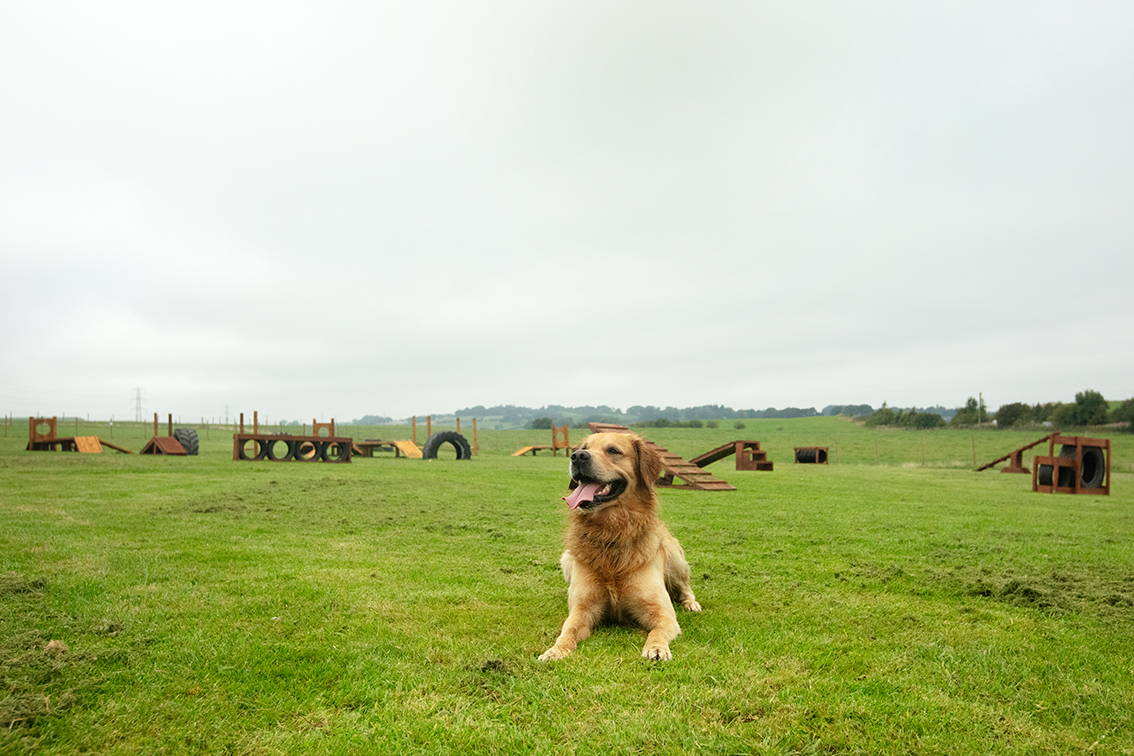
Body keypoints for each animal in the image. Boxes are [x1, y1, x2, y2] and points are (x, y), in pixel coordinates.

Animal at [537, 430, 698, 661]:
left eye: (613, 450)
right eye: (584, 448)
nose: (577, 456)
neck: (611, 534)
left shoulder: (663, 612)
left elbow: (658, 630)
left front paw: (657, 648)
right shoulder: (582, 608)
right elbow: (568, 629)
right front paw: (556, 650)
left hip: (675, 559)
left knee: (686, 587)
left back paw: (691, 603)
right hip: (566, 558)